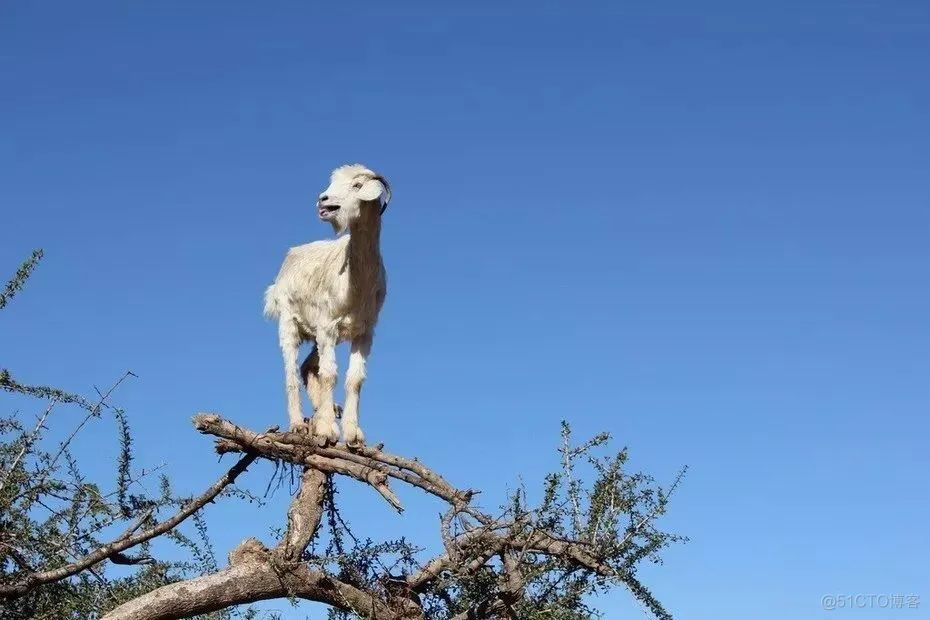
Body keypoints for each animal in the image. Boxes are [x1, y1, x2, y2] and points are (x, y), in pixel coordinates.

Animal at [262, 165, 390, 446]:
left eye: (356, 185)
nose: (324, 200)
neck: (356, 282)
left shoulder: (364, 332)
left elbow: (354, 379)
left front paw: (354, 436)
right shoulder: (328, 326)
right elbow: (330, 375)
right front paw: (327, 430)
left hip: (318, 335)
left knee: (308, 366)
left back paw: (324, 410)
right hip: (290, 323)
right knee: (291, 372)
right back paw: (299, 424)